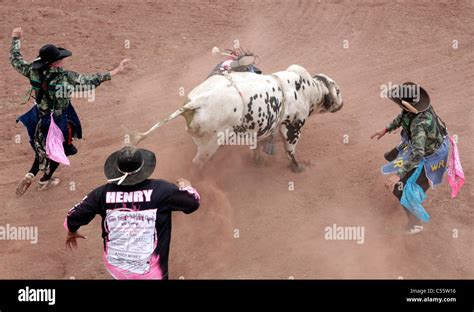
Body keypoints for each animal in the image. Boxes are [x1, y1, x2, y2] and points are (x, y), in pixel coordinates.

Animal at [133, 65, 340, 173]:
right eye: (337, 90)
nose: (341, 102)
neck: (308, 90)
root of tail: (197, 102)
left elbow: (258, 145)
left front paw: (258, 160)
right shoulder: (293, 128)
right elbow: (290, 151)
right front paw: (298, 167)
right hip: (209, 145)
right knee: (198, 163)